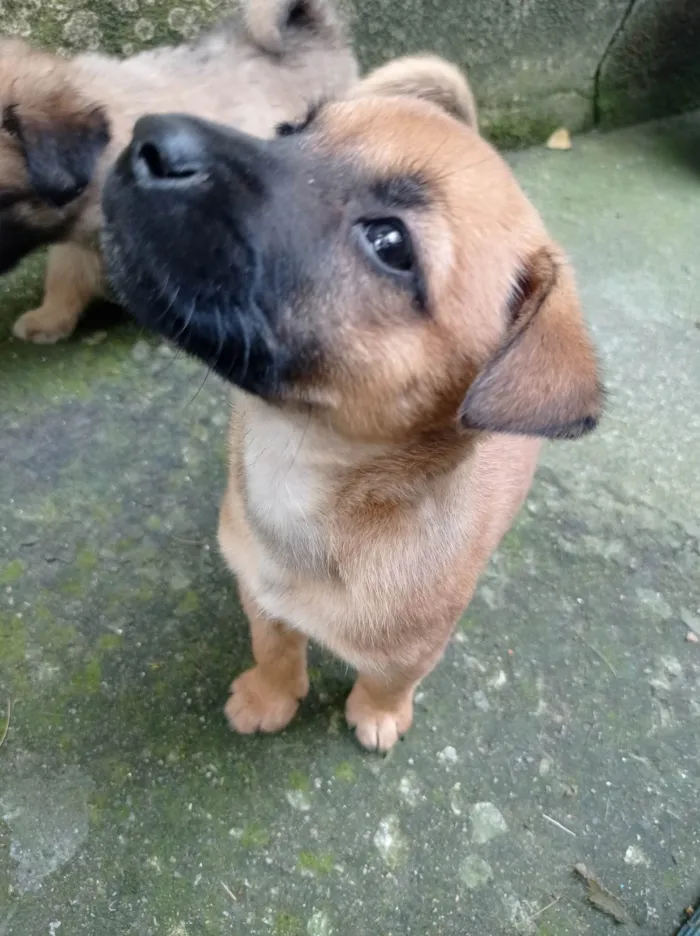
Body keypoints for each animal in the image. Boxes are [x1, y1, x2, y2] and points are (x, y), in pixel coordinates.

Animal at [101, 58, 604, 748]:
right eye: (290, 130)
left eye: (390, 242)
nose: (150, 139)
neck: (300, 460)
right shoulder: (258, 587)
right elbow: (273, 645)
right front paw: (270, 696)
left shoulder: (414, 644)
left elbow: (390, 679)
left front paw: (378, 715)